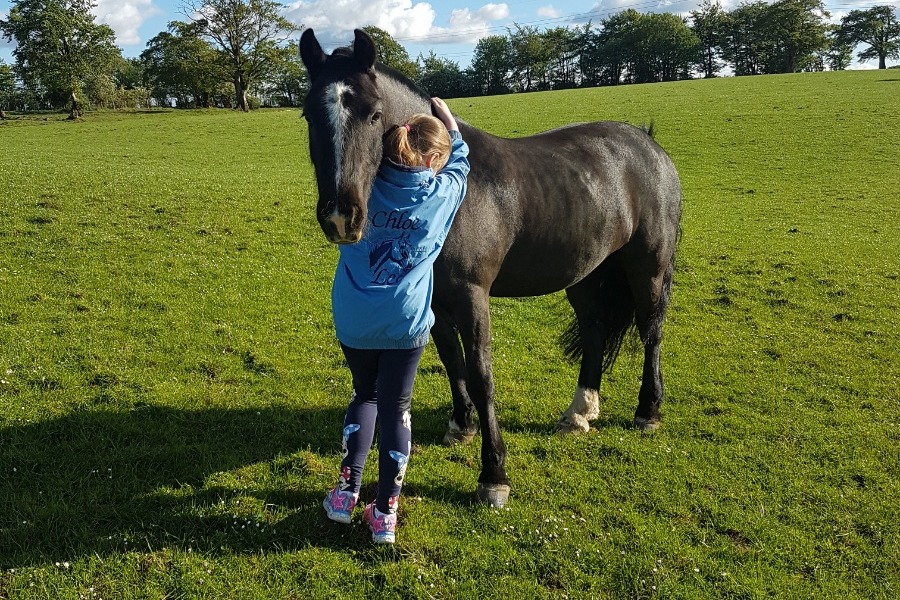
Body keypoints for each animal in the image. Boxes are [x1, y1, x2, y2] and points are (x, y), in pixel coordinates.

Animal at [299, 29, 682, 507]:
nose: (340, 216)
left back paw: (648, 410)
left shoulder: (471, 297)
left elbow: (482, 375)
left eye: (373, 114)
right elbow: (452, 360)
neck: (452, 184)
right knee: (595, 329)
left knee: (651, 331)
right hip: (585, 273)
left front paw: (493, 474)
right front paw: (461, 425)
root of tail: (650, 145)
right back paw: (580, 412)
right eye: (309, 115)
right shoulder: (435, 302)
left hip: (647, 268)